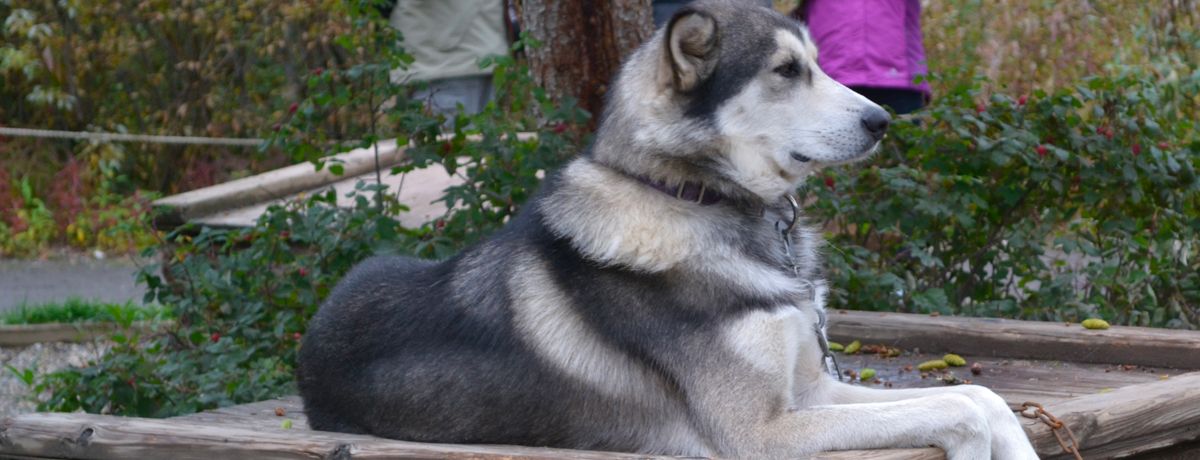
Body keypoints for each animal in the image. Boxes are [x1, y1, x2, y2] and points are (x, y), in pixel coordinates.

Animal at [295, 1, 1036, 458]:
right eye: (787, 71)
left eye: (819, 63)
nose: (882, 121)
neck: (703, 200)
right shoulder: (760, 432)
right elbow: (963, 410)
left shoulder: (812, 390)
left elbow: (981, 394)